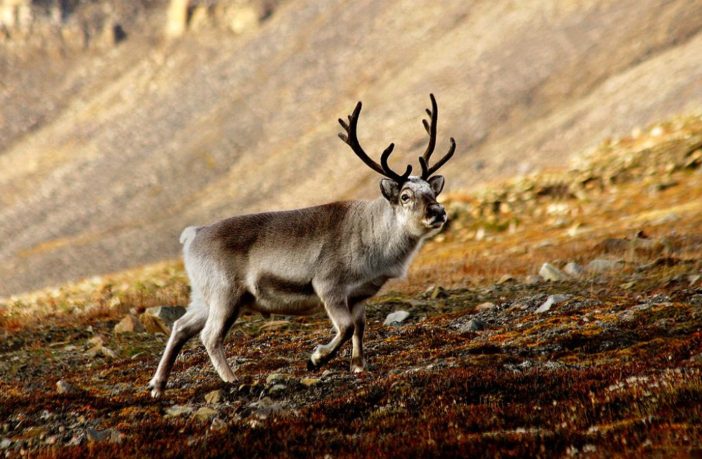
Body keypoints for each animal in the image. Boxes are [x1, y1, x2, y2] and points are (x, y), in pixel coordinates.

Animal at [148, 94, 456, 398]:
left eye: (432, 191)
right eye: (405, 195)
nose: (438, 211)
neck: (374, 237)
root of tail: (192, 235)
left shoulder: (358, 296)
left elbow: (359, 328)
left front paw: (358, 366)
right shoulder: (328, 286)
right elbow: (345, 328)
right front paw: (316, 358)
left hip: (203, 296)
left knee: (180, 327)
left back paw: (157, 386)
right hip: (226, 295)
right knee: (209, 336)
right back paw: (231, 379)